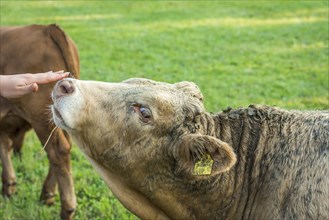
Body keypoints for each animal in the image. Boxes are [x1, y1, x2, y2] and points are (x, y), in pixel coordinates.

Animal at [0, 24, 79, 220]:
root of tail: (47, 28)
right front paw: (9, 184)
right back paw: (47, 194)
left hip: (41, 119)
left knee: (58, 151)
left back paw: (67, 207)